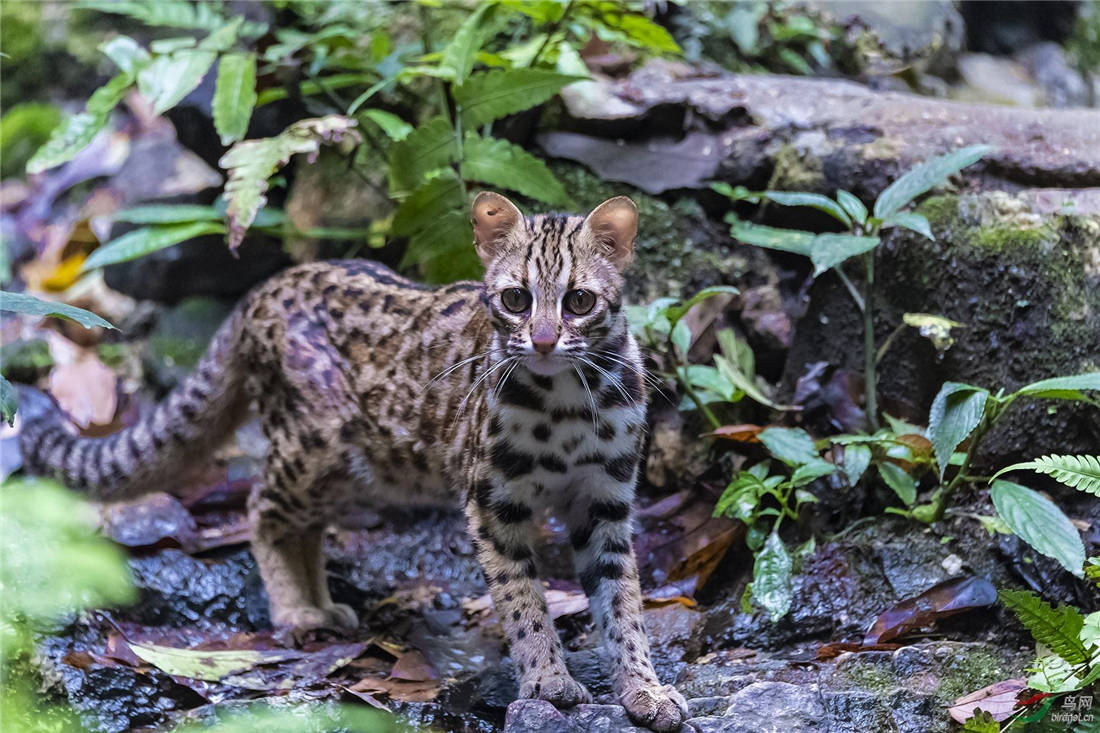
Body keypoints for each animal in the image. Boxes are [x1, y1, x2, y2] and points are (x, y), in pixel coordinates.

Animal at [19, 191, 686, 726]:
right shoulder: (494, 503)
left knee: (305, 523)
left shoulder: (606, 501)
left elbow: (623, 601)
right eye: (517, 299)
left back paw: (320, 603)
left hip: (355, 466)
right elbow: (523, 601)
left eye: (580, 301)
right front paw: (548, 681)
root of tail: (262, 289)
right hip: (317, 442)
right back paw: (294, 610)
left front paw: (644, 688)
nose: (544, 341)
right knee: (261, 505)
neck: (570, 399)